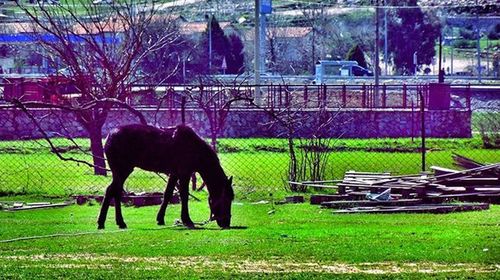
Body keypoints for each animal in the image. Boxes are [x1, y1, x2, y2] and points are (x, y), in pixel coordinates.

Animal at [97, 124, 234, 230]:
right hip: (123, 169)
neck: (195, 149)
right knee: (112, 190)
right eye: (226, 199)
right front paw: (187, 220)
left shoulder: (174, 173)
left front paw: (160, 219)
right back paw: (109, 222)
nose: (226, 223)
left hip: (121, 171)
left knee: (115, 191)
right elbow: (184, 195)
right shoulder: (184, 172)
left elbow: (168, 194)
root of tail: (109, 137)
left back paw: (113, 222)